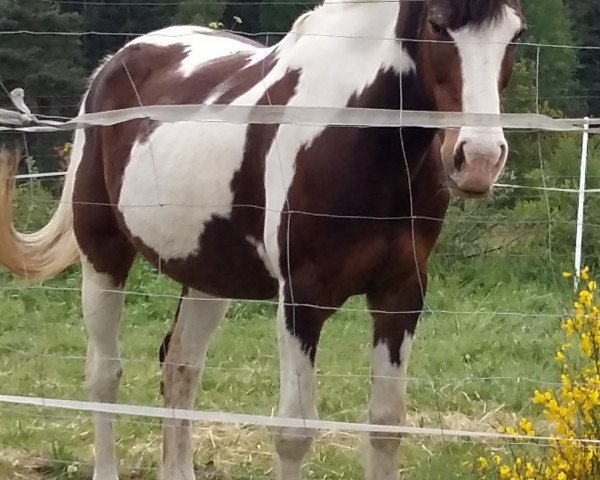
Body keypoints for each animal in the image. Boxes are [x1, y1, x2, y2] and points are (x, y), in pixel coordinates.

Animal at [0, 0, 524, 478]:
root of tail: (114, 63)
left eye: (515, 34)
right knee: (105, 375)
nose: (478, 160)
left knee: (180, 367)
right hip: (103, 254)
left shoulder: (400, 294)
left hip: (208, 275)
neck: (356, 134)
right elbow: (294, 433)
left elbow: (385, 426)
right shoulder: (301, 299)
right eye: (437, 25)